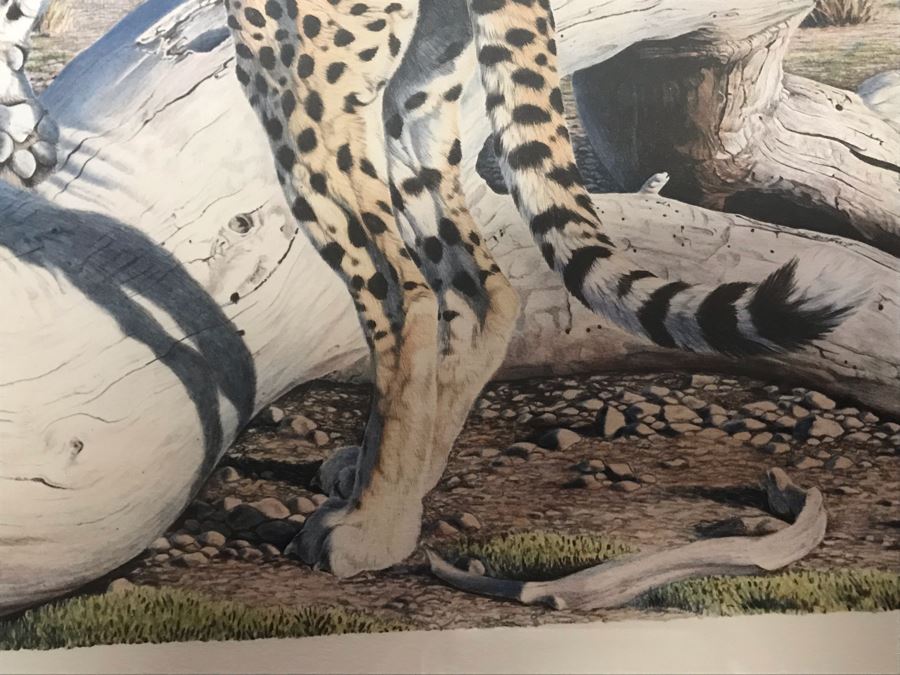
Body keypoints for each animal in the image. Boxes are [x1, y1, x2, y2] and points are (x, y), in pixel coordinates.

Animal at [221, 0, 851, 578]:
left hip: (297, 73)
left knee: (407, 296)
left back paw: (377, 525)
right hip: (414, 90)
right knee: (486, 291)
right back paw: (400, 492)